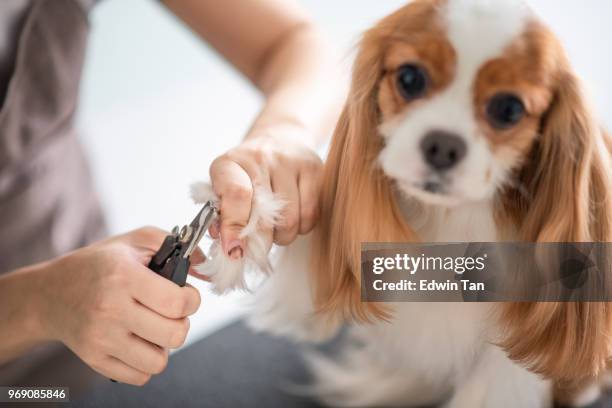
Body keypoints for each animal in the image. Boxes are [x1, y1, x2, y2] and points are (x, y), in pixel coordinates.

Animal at [192, 1, 612, 406]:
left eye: (509, 109)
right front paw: (246, 221)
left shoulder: (507, 365)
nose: (443, 145)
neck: (450, 219)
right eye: (410, 78)